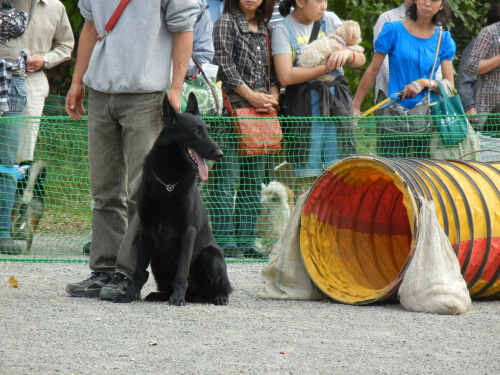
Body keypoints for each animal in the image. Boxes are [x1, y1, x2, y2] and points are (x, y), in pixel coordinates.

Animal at [114, 93, 232, 306]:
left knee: (222, 287)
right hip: (158, 257)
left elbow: (182, 271)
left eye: (208, 130)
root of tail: (196, 296)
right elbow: (139, 270)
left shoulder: (188, 232)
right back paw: (160, 295)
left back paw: (218, 297)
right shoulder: (146, 228)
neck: (168, 181)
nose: (220, 153)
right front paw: (129, 294)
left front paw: (177, 297)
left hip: (210, 255)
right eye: (196, 131)